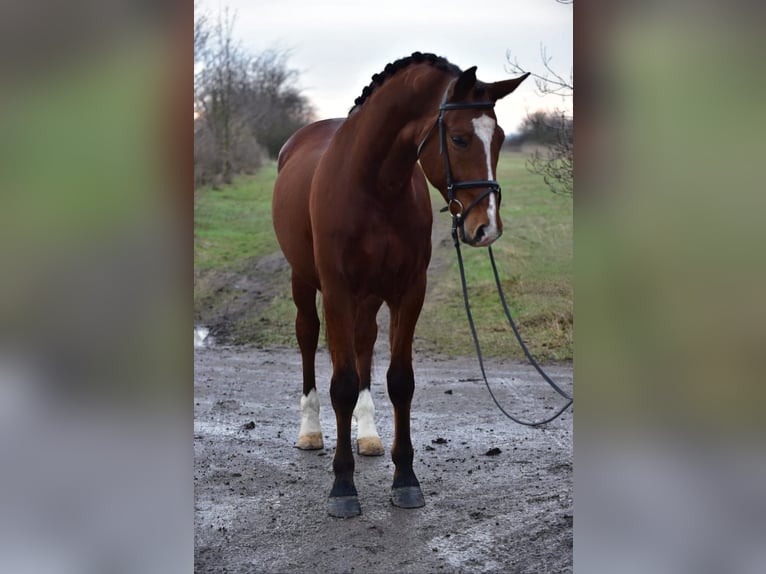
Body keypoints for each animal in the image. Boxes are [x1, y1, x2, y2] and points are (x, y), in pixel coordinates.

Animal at [272, 52, 528, 517]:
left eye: (499, 138)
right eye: (460, 139)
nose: (487, 228)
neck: (375, 186)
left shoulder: (408, 292)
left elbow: (399, 381)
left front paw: (405, 478)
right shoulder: (337, 292)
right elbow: (342, 384)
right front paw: (343, 486)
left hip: (370, 297)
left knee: (364, 342)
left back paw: (369, 435)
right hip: (304, 281)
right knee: (307, 337)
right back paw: (310, 430)